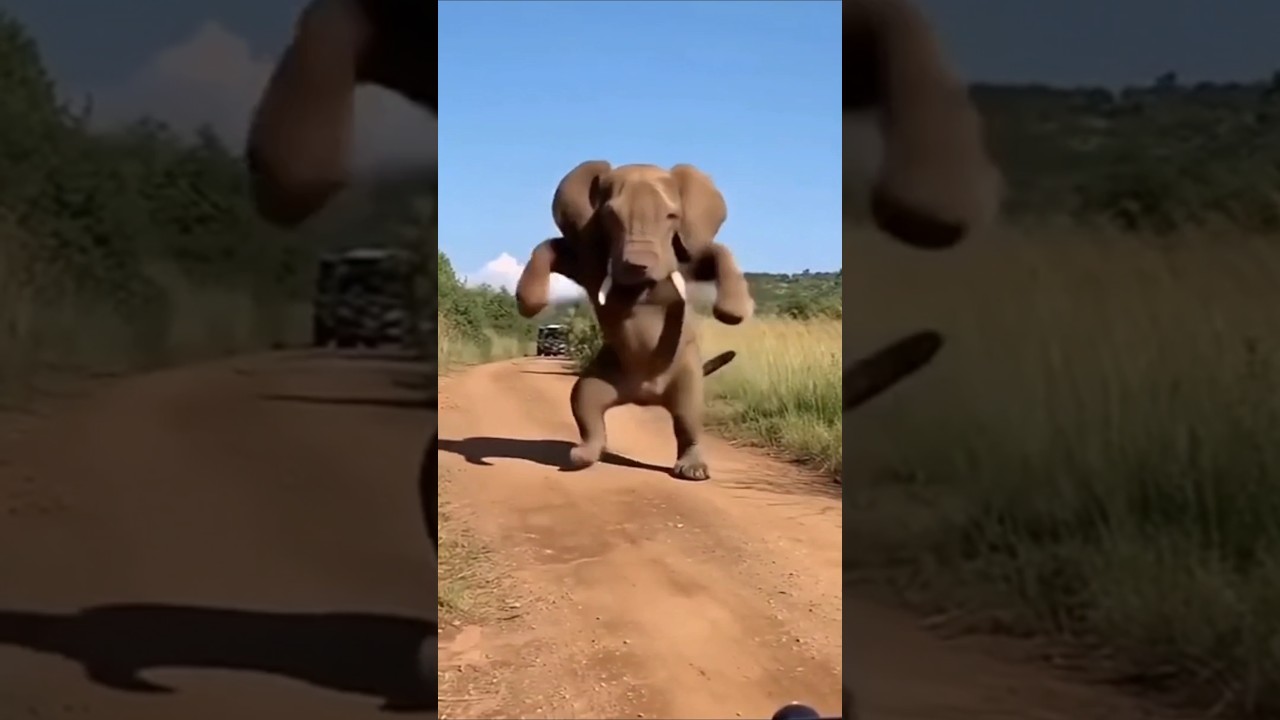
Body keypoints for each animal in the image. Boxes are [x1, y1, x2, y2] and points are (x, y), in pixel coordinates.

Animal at [513, 162, 753, 481]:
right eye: (610, 217)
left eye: (672, 216)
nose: (638, 265)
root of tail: (644, 396)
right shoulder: (590, 258)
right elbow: (554, 247)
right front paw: (531, 303)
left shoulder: (683, 253)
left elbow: (711, 252)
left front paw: (731, 313)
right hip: (606, 372)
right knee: (584, 400)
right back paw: (582, 457)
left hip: (685, 371)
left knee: (688, 413)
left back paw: (693, 471)